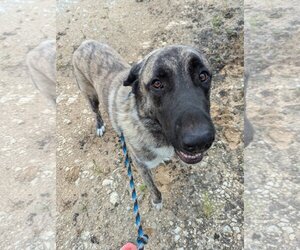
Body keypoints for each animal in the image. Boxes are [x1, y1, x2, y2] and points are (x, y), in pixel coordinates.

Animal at [73, 41, 216, 209]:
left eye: (203, 76)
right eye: (157, 83)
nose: (200, 140)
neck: (148, 126)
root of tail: (85, 43)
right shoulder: (140, 165)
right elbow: (152, 186)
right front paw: (157, 200)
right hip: (91, 96)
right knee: (96, 111)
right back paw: (100, 125)